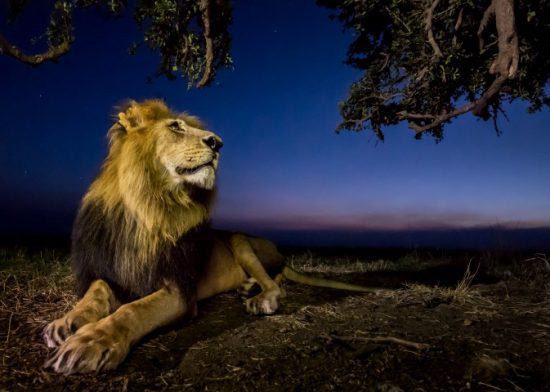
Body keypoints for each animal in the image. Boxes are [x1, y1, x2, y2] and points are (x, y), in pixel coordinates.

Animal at [43, 98, 376, 374]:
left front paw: (92, 341)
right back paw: (247, 287)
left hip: (241, 241)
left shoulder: (179, 290)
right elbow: (95, 292)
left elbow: (132, 310)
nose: (218, 143)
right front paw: (66, 323)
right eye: (175, 127)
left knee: (277, 282)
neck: (148, 210)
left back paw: (260, 298)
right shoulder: (114, 270)